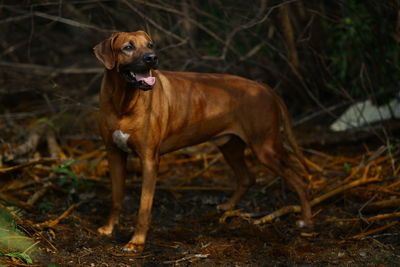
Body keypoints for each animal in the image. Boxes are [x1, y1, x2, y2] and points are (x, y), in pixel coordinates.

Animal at [94, 31, 312, 253]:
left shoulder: (149, 160)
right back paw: (228, 207)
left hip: (266, 148)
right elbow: (116, 198)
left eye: (150, 45)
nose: (152, 58)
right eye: (128, 47)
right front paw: (110, 227)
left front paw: (137, 241)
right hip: (230, 146)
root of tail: (266, 88)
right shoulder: (114, 154)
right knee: (247, 178)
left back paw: (306, 221)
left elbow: (144, 207)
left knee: (299, 180)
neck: (123, 102)